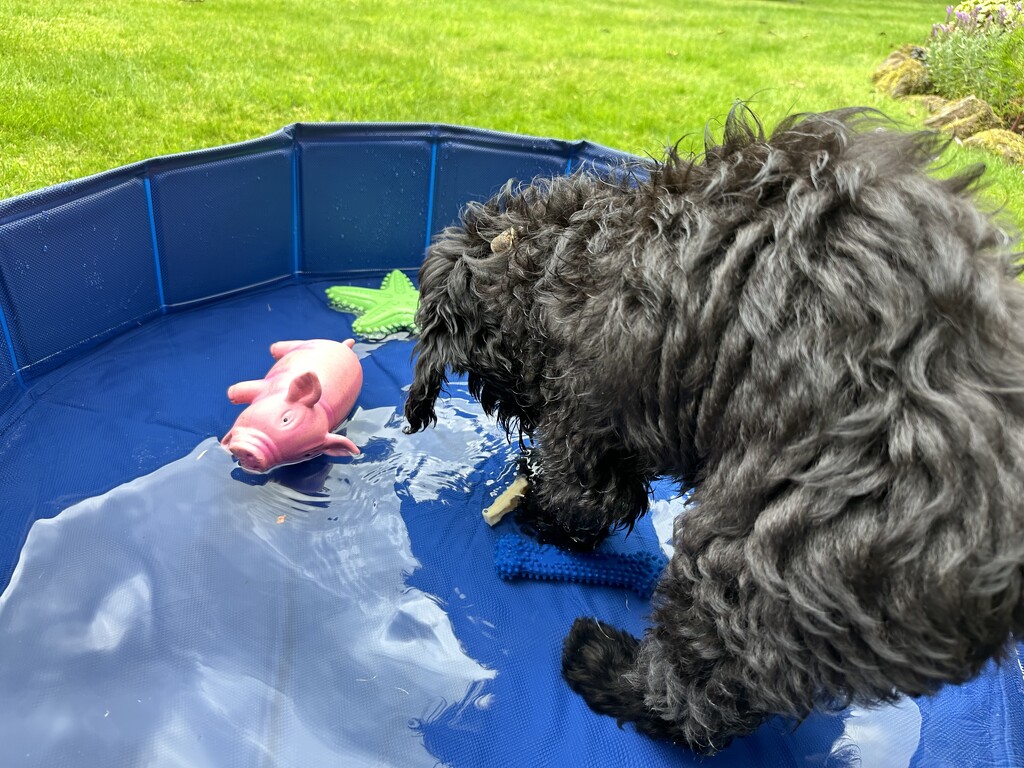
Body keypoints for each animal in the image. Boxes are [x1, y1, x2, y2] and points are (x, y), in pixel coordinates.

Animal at [401, 105, 1024, 753]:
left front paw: (538, 512)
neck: (558, 254)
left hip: (758, 556)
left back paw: (604, 666)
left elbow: (588, 501)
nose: (515, 418)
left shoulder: (584, 419)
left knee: (700, 691)